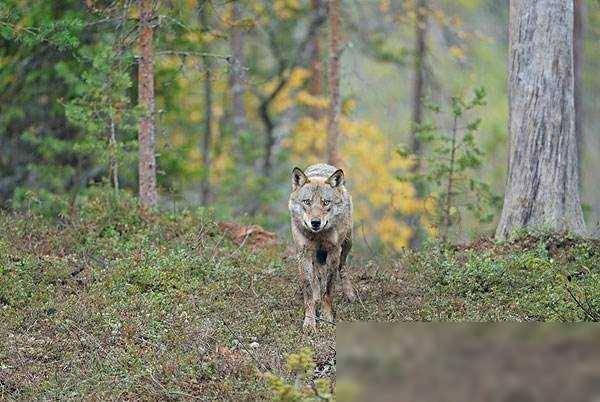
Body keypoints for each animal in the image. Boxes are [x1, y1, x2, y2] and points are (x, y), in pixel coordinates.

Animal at [288, 163, 354, 330]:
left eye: (326, 202)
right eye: (307, 202)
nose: (315, 222)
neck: (318, 236)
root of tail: (323, 165)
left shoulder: (333, 252)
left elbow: (328, 291)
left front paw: (327, 319)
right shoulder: (304, 254)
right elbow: (309, 291)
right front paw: (310, 323)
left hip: (347, 244)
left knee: (342, 268)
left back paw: (350, 294)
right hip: (315, 256)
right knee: (317, 276)